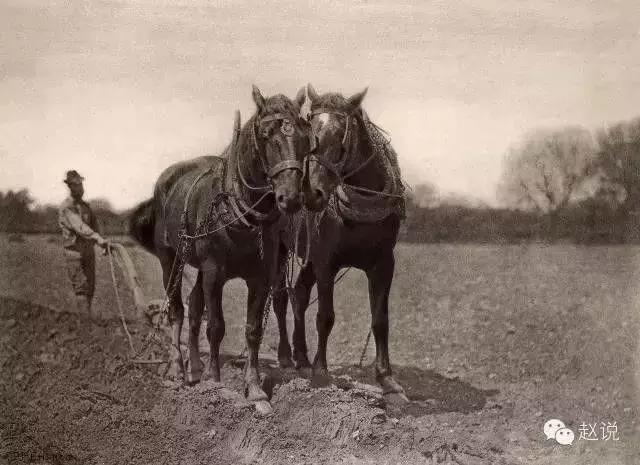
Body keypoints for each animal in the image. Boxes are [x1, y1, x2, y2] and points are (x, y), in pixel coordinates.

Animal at [272, 86, 408, 402]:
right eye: (309, 137)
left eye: (340, 137)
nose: (310, 194)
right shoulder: (326, 262)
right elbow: (325, 316)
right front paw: (321, 372)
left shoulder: (384, 263)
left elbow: (380, 319)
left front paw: (388, 380)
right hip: (279, 250)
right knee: (281, 298)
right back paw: (286, 356)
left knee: (299, 294)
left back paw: (301, 357)